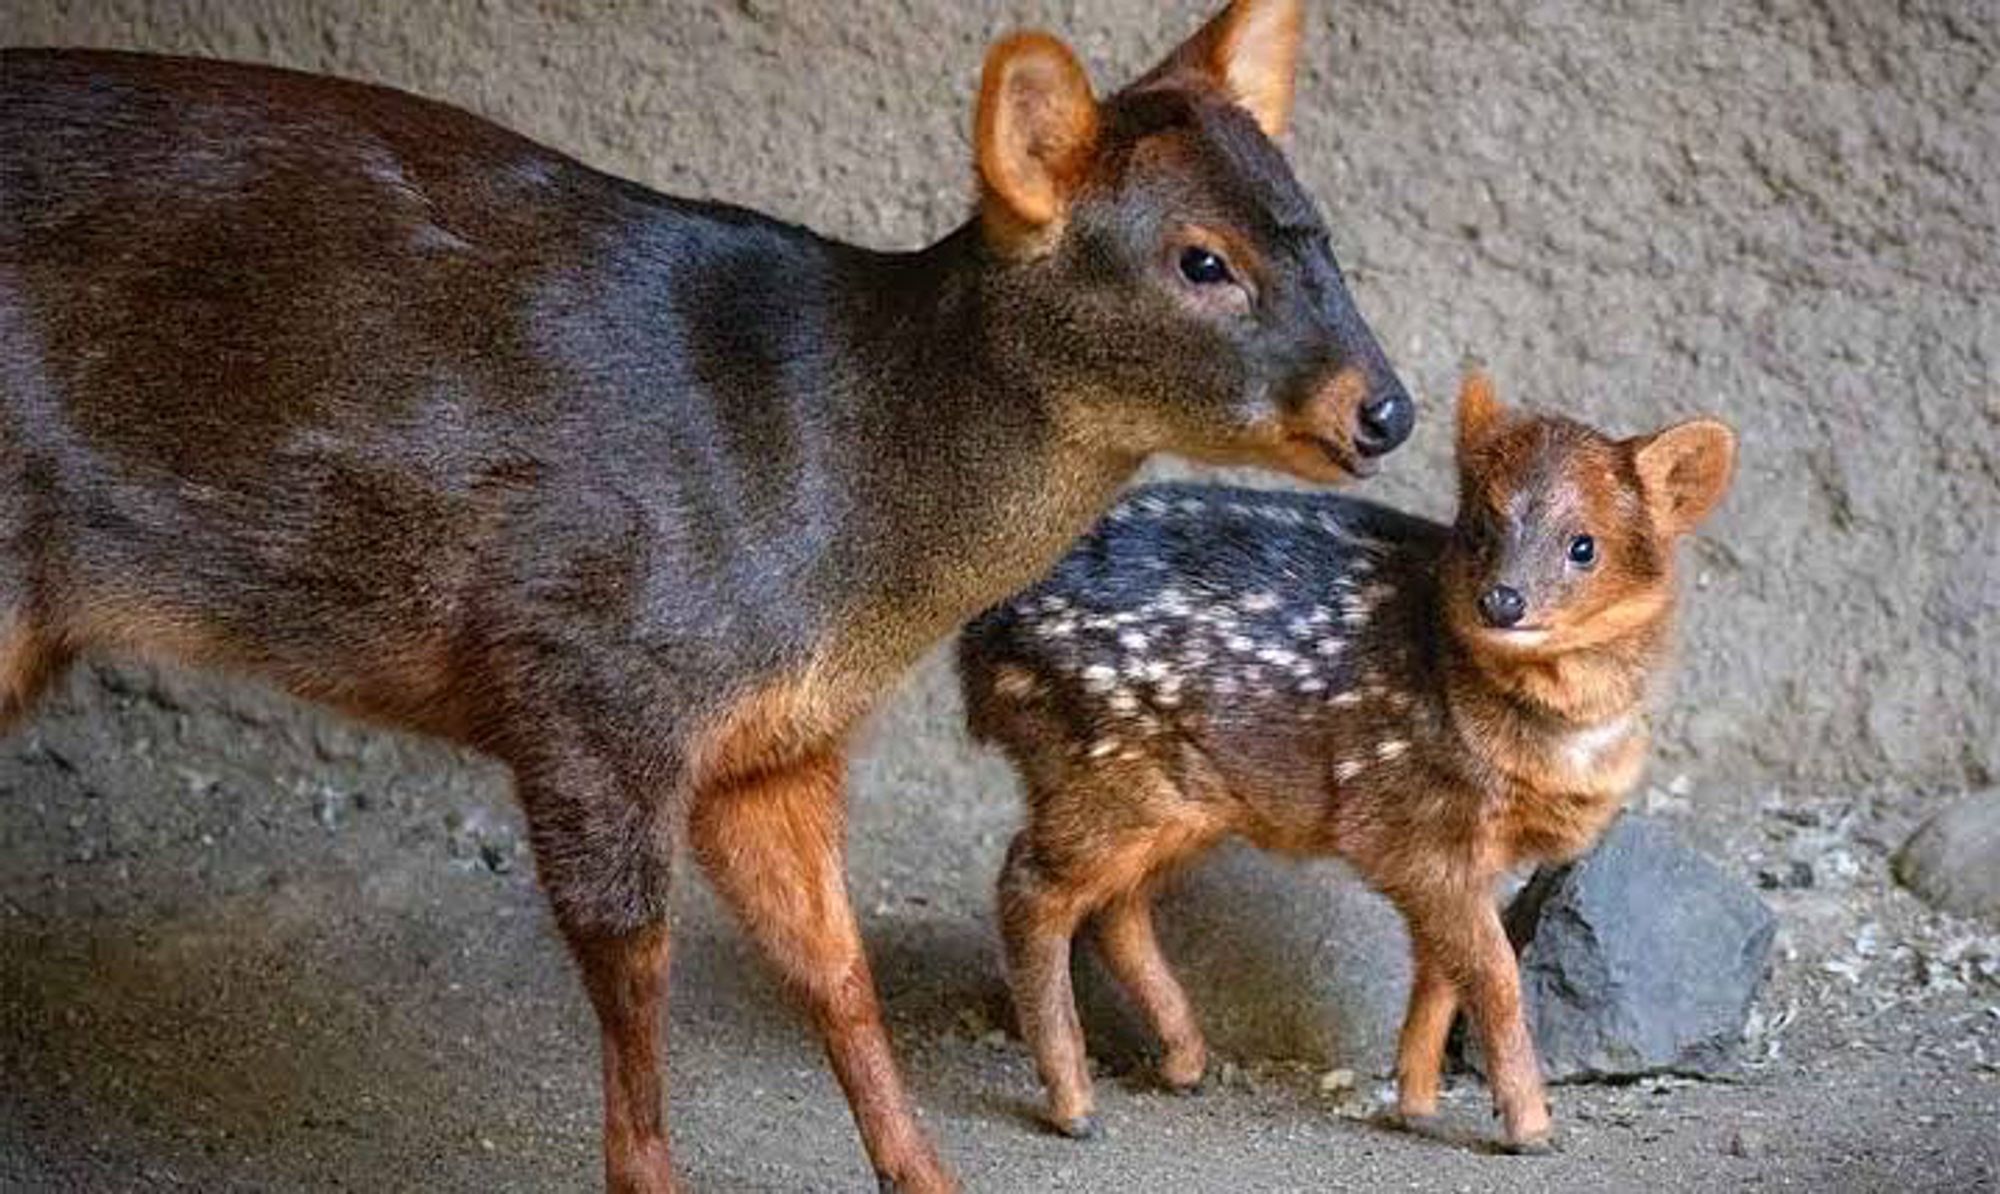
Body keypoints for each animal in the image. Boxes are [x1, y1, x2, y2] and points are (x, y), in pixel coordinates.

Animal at [0, 0, 1408, 1184]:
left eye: (1316, 231)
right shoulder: (589, 677)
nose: (1384, 408)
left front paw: (925, 1170)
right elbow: (637, 976)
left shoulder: (770, 743)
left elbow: (835, 969)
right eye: (1199, 261)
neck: (831, 497)